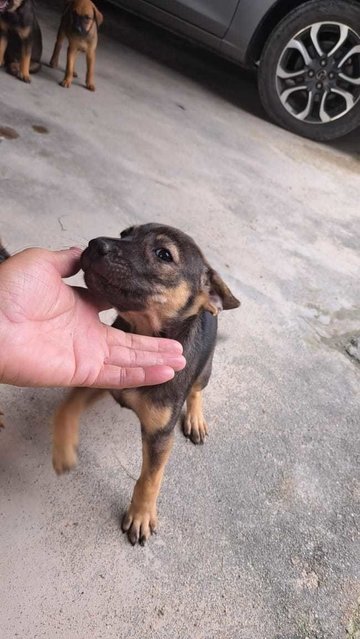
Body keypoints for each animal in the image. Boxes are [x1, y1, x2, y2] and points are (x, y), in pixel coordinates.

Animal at [52, 225, 239, 544]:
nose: (95, 244)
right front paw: (63, 447)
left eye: (163, 254)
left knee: (196, 391)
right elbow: (67, 405)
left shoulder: (160, 434)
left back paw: (196, 419)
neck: (143, 332)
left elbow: (151, 477)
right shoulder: (106, 376)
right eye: (124, 233)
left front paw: (141, 515)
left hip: (205, 372)